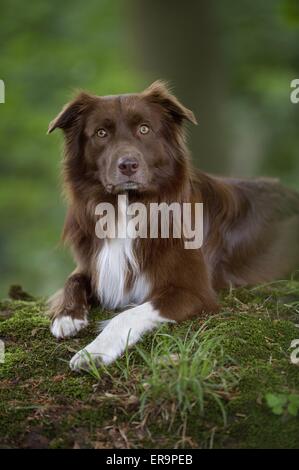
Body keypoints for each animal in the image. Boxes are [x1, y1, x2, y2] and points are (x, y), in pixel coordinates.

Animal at [47, 81, 299, 370]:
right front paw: (66, 315)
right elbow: (73, 279)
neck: (129, 209)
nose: (128, 165)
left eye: (144, 129)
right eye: (101, 133)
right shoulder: (94, 263)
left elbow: (128, 314)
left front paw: (95, 351)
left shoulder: (195, 291)